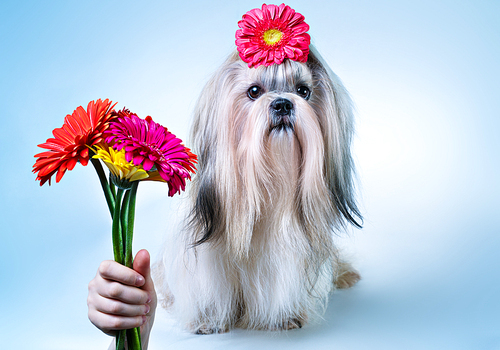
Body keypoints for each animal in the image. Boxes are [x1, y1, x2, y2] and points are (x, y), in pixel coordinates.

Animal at [154, 4, 362, 334]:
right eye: (254, 91)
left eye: (303, 91)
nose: (282, 104)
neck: (267, 190)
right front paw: (207, 319)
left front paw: (286, 317)